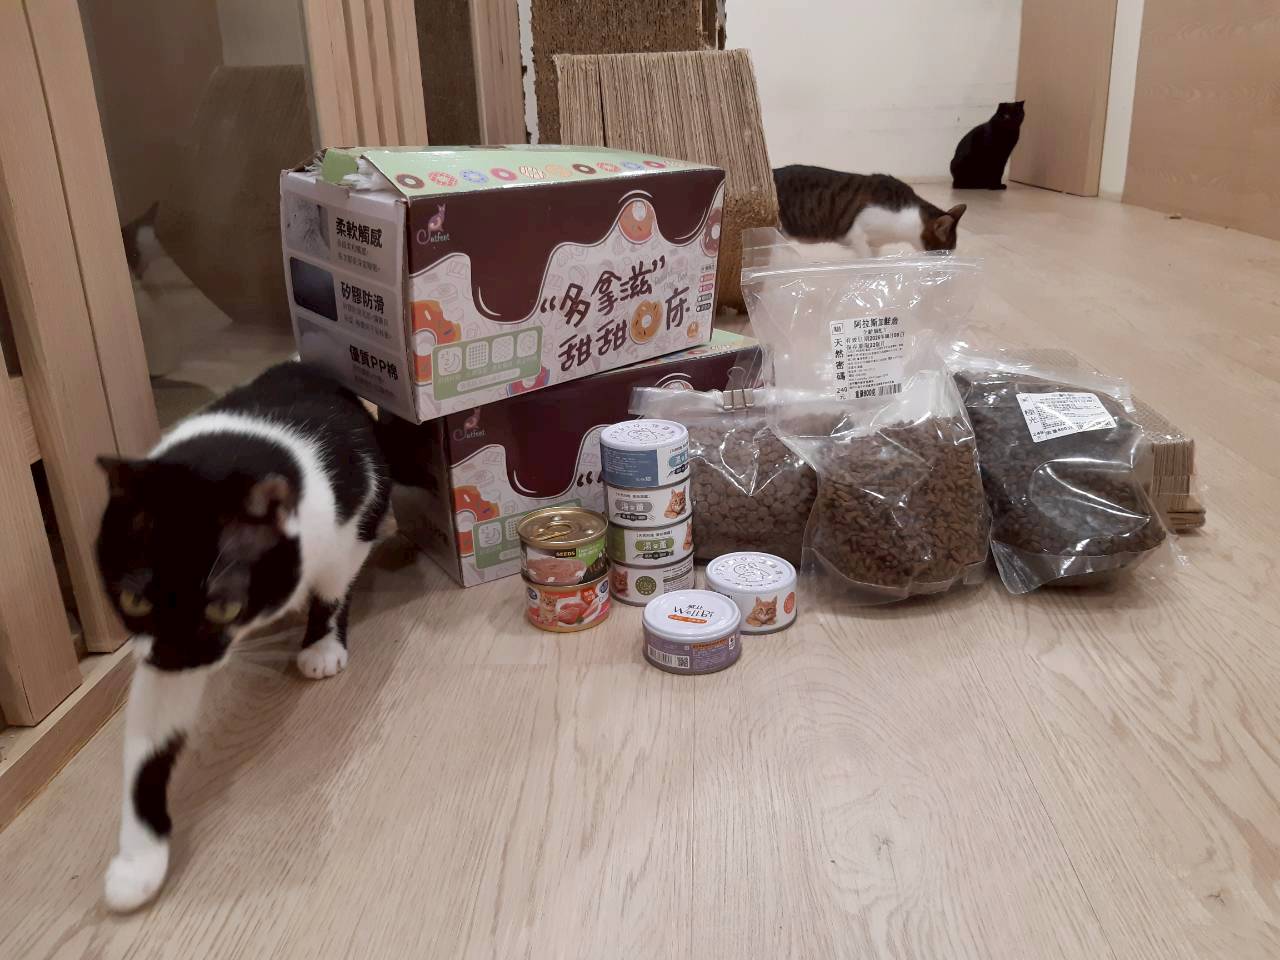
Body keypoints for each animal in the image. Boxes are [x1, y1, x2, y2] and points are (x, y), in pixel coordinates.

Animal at [95, 362, 390, 912]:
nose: (174, 658)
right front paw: (139, 863)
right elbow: (149, 744)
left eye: (225, 605)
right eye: (134, 601)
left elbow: (334, 586)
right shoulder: (160, 651)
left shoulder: (353, 517)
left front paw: (321, 645)